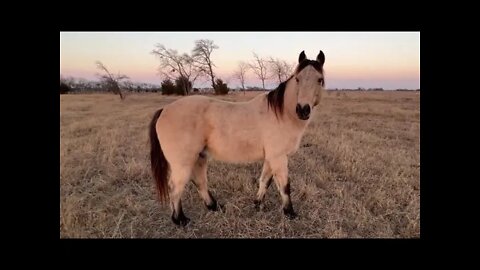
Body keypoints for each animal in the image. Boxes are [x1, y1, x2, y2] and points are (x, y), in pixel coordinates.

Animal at [150, 50, 326, 226]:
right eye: (297, 79)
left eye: (319, 79)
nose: (303, 110)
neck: (282, 114)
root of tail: (164, 110)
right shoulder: (279, 157)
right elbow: (284, 186)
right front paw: (290, 213)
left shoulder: (271, 158)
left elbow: (265, 181)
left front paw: (258, 204)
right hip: (183, 162)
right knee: (176, 187)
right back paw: (180, 220)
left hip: (199, 157)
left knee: (199, 182)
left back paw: (214, 207)